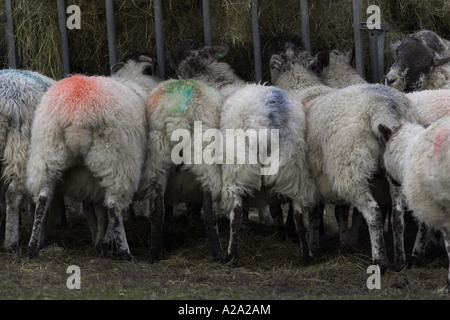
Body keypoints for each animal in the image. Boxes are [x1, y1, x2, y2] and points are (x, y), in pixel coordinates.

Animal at [25, 53, 160, 260]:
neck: (135, 81)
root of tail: (77, 114)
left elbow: (99, 212)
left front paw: (101, 241)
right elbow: (107, 210)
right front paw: (106, 243)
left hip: (47, 152)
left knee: (42, 199)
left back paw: (33, 247)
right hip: (115, 159)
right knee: (114, 204)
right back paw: (125, 252)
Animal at [170, 38, 320, 264]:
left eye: (185, 52)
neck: (217, 80)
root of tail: (270, 113)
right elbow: (275, 208)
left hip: (239, 164)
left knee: (236, 207)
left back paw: (231, 255)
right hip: (292, 164)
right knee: (299, 209)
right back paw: (306, 255)